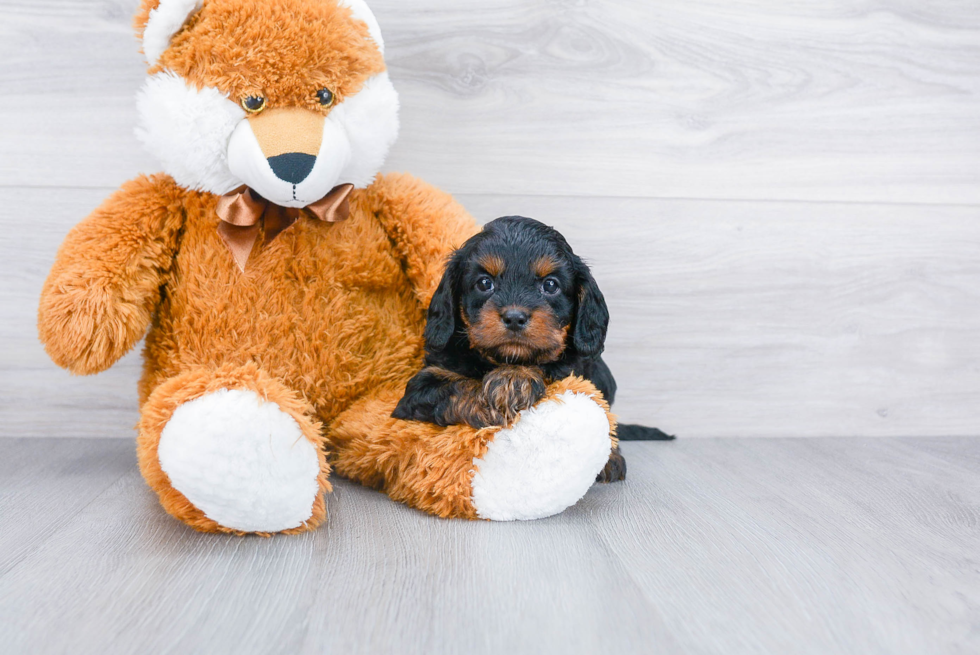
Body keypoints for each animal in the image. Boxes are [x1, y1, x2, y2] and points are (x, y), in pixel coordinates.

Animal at [390, 215, 672, 482]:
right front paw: (502, 393)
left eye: (550, 285)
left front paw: (514, 378)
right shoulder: (420, 388)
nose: (515, 317)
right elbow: (454, 386)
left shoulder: (582, 373)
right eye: (484, 283)